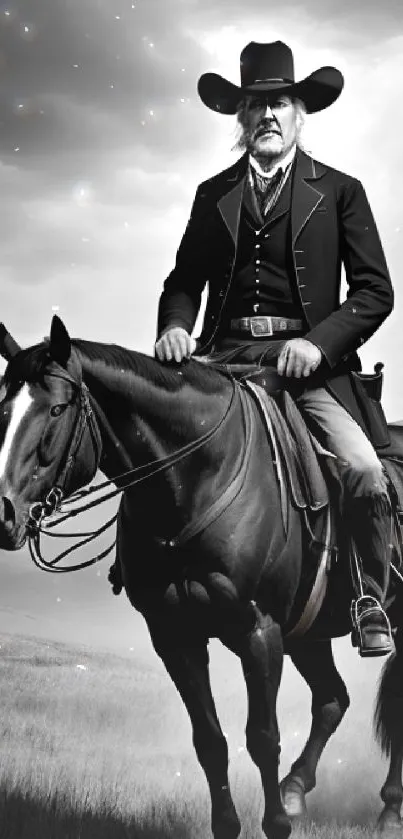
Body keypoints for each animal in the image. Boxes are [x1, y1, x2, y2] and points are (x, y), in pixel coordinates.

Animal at [0, 316, 402, 839]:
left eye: (56, 408)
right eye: (2, 409)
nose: (4, 513)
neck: (195, 479)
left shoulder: (259, 630)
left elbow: (263, 737)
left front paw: (275, 823)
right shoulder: (175, 636)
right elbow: (209, 741)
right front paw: (233, 824)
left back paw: (388, 807)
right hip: (307, 634)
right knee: (332, 698)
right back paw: (298, 790)